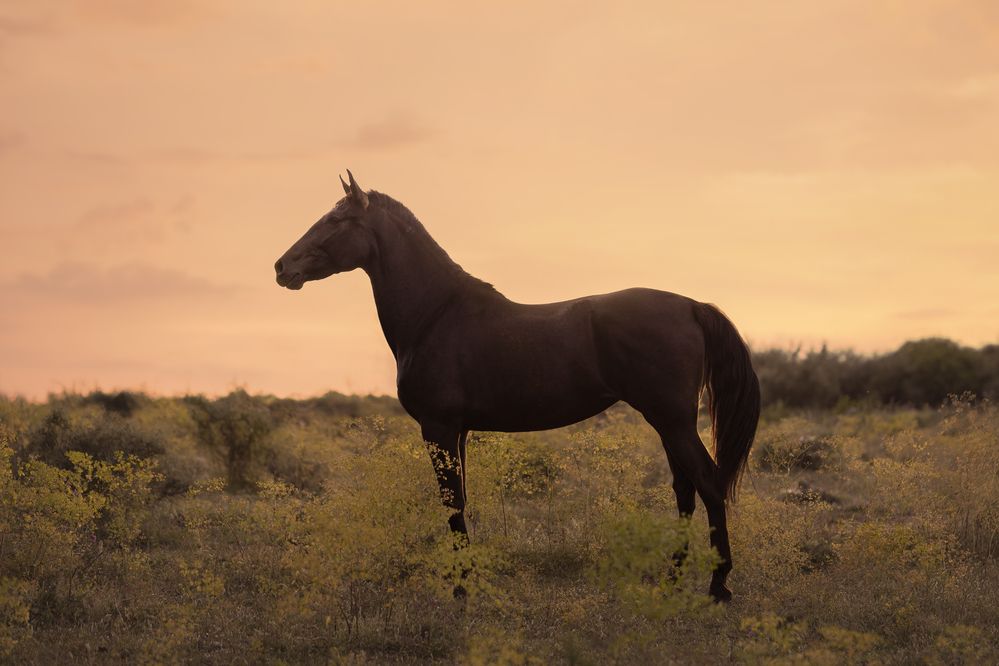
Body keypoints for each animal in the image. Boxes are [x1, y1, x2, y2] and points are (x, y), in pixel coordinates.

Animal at [274, 171, 761, 601]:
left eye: (336, 220)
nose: (282, 266)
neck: (436, 315)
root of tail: (692, 306)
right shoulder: (458, 430)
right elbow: (461, 502)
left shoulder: (437, 427)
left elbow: (452, 504)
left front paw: (460, 591)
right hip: (667, 423)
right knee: (685, 491)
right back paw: (673, 581)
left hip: (672, 421)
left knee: (707, 484)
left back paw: (718, 586)